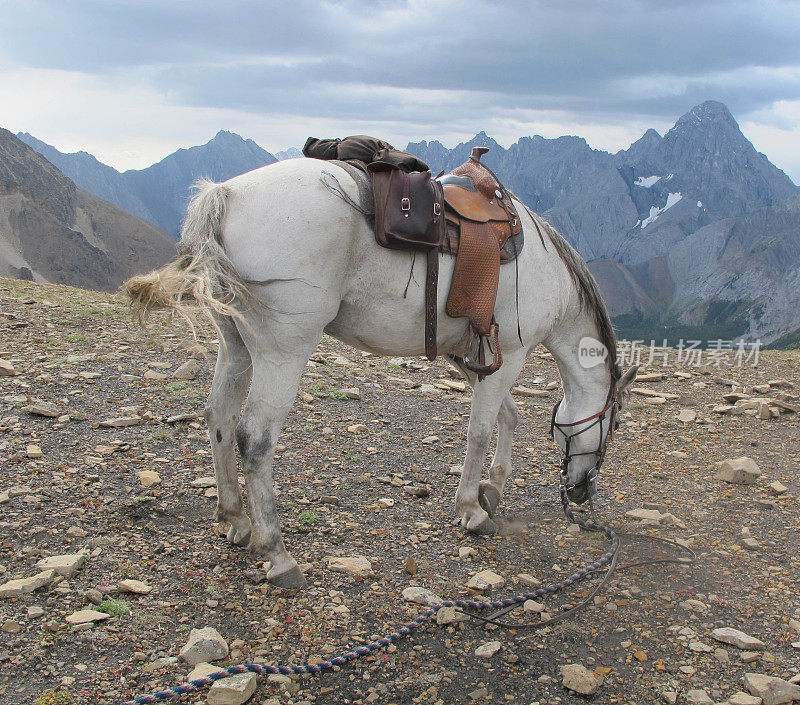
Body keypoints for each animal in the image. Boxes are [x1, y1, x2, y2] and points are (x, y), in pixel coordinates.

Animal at [125, 158, 636, 588]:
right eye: (612, 426)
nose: (581, 491)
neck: (550, 276)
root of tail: (226, 193)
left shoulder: (474, 356)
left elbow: (507, 416)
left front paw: (492, 488)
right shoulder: (508, 354)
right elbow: (480, 430)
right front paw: (471, 509)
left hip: (235, 345)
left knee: (220, 419)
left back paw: (235, 518)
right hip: (282, 351)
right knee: (255, 438)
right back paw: (278, 554)